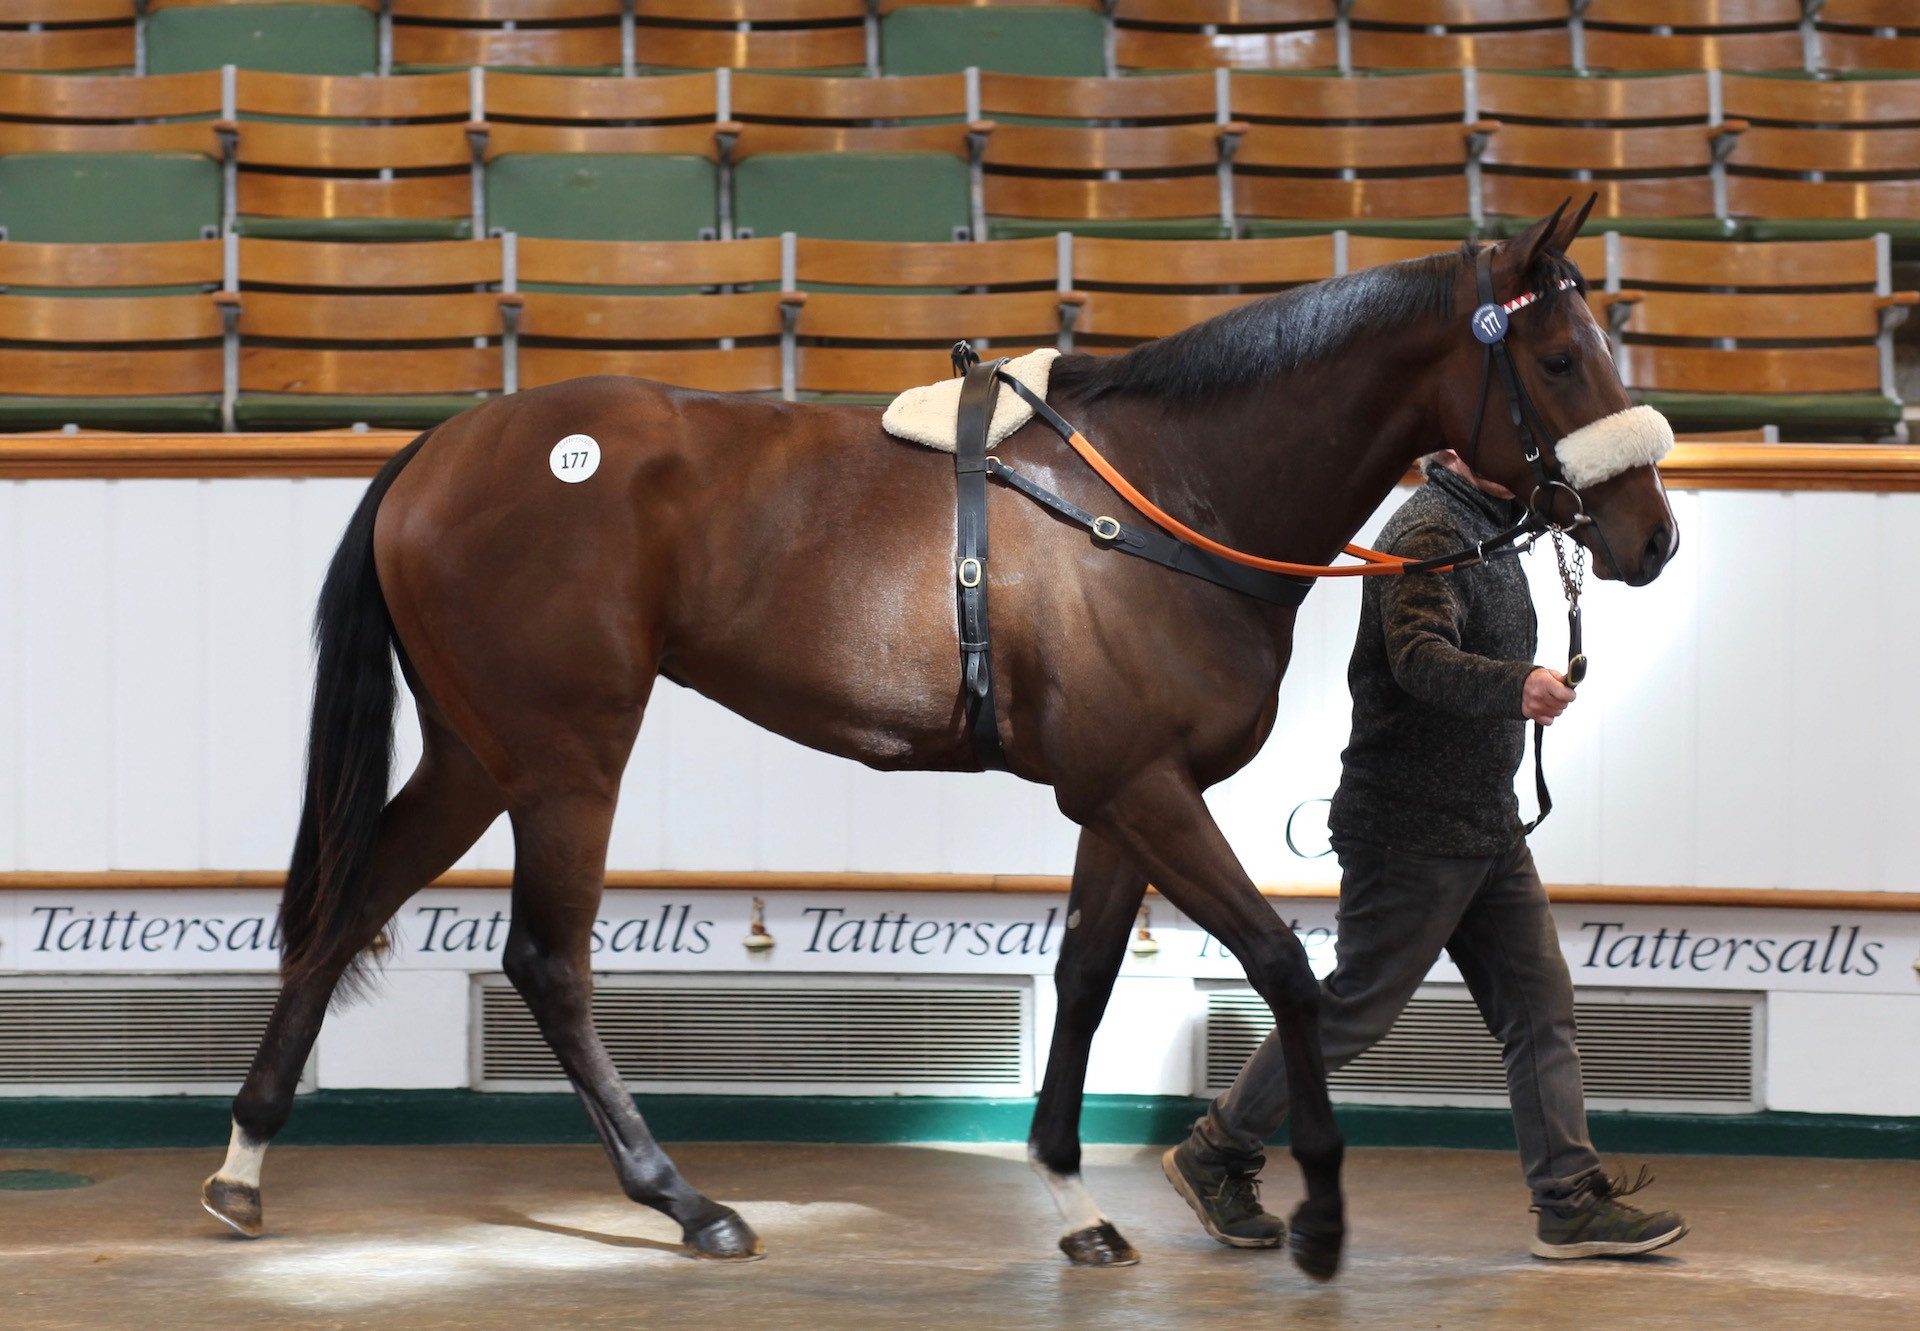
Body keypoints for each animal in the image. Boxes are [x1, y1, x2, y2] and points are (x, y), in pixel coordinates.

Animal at [202, 202, 1681, 1275]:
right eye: (1559, 358)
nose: (1653, 535)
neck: (1169, 497)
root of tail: (438, 446)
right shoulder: (1148, 788)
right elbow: (1279, 964)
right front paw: (1311, 1212)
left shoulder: (1119, 798)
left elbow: (1084, 979)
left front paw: (1081, 1199)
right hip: (567, 757)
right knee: (545, 962)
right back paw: (683, 1198)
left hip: (476, 750)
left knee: (349, 903)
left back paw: (242, 1164)